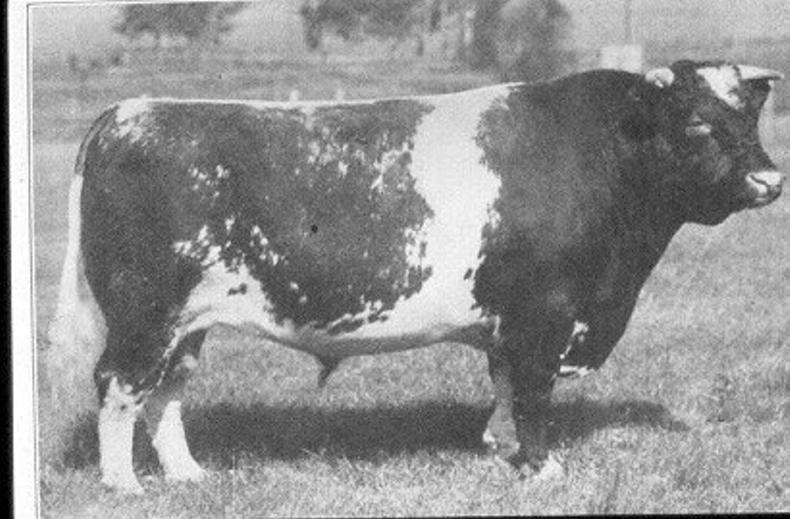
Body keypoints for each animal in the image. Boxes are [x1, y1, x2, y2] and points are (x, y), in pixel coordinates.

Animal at [48, 60, 784, 494]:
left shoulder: (513, 322)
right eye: (697, 124)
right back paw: (125, 486)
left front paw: (503, 448)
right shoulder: (543, 316)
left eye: (749, 117)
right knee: (119, 384)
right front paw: (544, 467)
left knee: (167, 390)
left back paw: (188, 474)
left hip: (187, 320)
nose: (768, 180)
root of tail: (132, 111)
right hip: (145, 311)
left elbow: (505, 387)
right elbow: (534, 392)